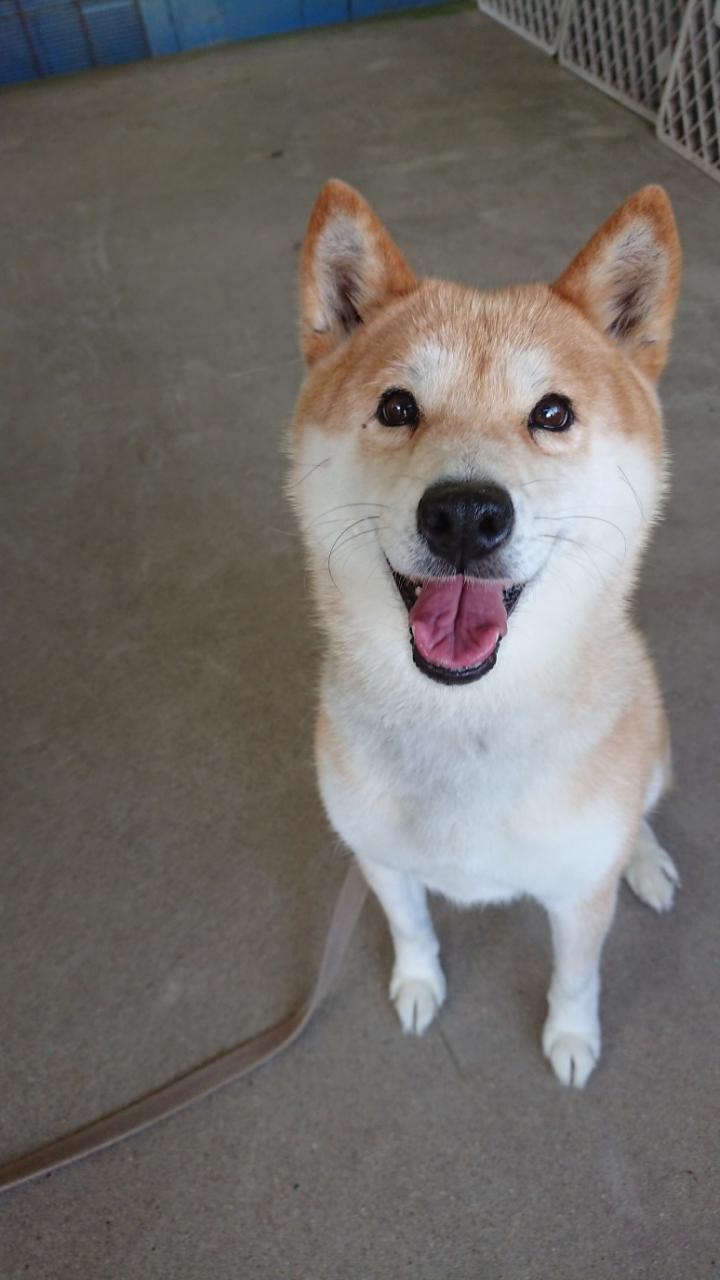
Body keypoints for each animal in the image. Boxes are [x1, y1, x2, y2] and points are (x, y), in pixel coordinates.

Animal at [289, 180, 681, 1087]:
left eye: (553, 412)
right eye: (397, 407)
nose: (466, 513)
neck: (465, 722)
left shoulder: (577, 895)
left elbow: (577, 975)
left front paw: (570, 1037)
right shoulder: (381, 861)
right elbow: (411, 928)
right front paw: (418, 985)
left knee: (642, 808)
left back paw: (643, 858)